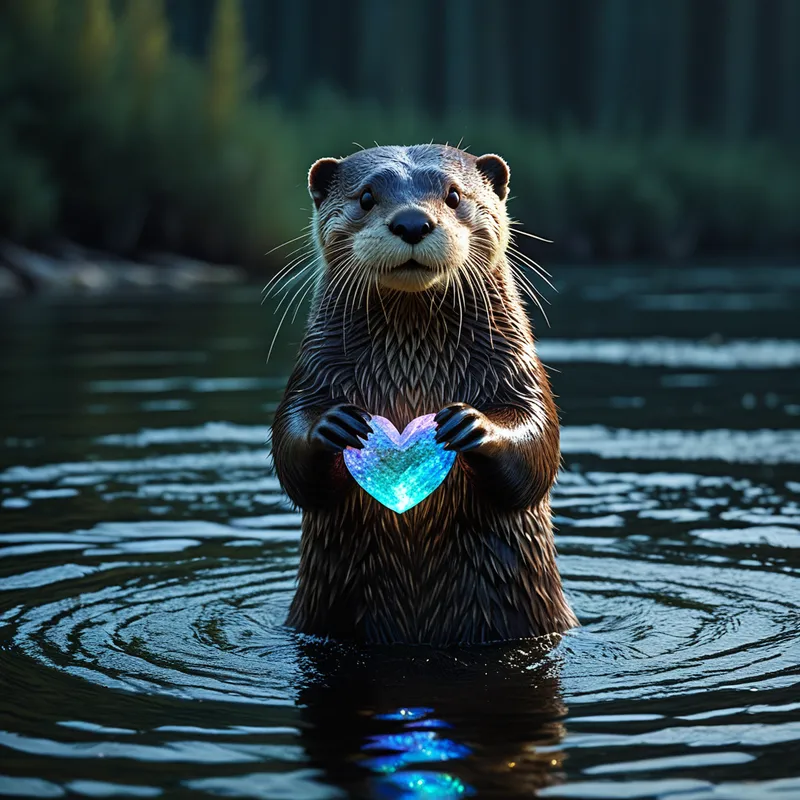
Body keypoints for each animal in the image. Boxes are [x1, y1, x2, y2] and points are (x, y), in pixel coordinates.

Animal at [272, 144, 577, 644]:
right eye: (366, 196)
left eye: (454, 195)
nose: (412, 221)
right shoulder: (312, 373)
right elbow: (292, 453)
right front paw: (334, 426)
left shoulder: (518, 371)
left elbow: (538, 447)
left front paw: (472, 424)